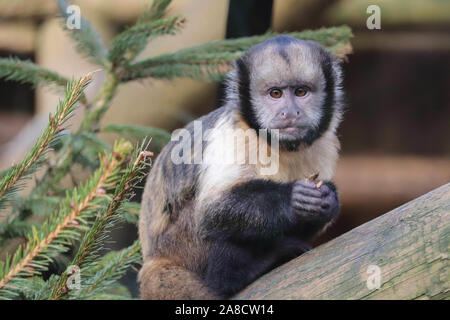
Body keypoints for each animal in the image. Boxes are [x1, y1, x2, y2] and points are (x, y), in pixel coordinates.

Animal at [139, 35, 342, 300]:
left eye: (301, 92)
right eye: (275, 94)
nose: (289, 112)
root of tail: (154, 258)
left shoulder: (324, 143)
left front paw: (327, 197)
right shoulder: (235, 135)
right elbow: (210, 212)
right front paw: (293, 198)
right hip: (178, 248)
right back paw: (234, 273)